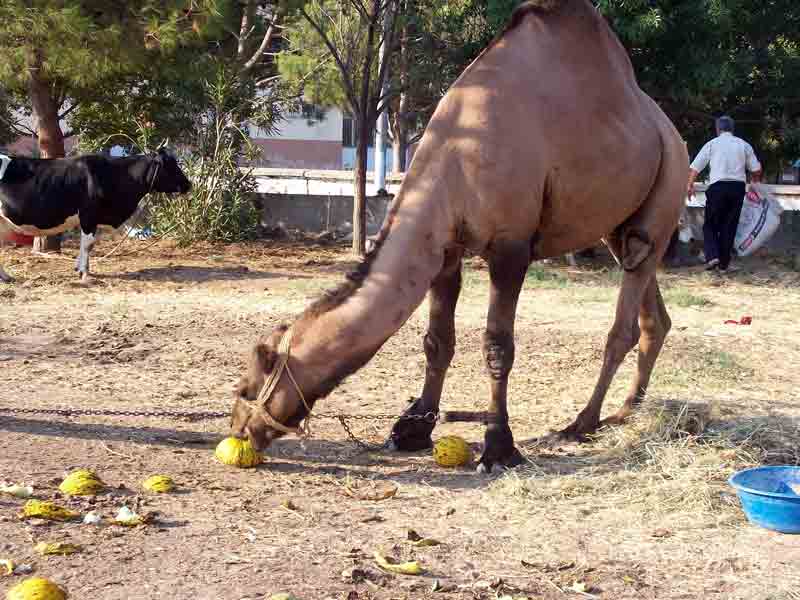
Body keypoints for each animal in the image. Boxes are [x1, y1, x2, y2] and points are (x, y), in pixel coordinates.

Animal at [0, 148, 191, 284]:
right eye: (170, 166)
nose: (188, 184)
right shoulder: (88, 216)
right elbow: (87, 245)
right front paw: (85, 273)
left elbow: (87, 245)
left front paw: (82, 269)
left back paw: (6, 277)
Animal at [230, 0, 688, 474]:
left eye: (247, 389)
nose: (240, 430)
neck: (458, 157)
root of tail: (670, 132)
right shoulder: (445, 247)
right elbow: (437, 341)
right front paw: (410, 430)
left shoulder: (510, 247)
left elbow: (497, 346)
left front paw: (498, 446)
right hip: (621, 227)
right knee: (650, 307)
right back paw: (628, 409)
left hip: (670, 183)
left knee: (625, 317)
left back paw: (583, 422)